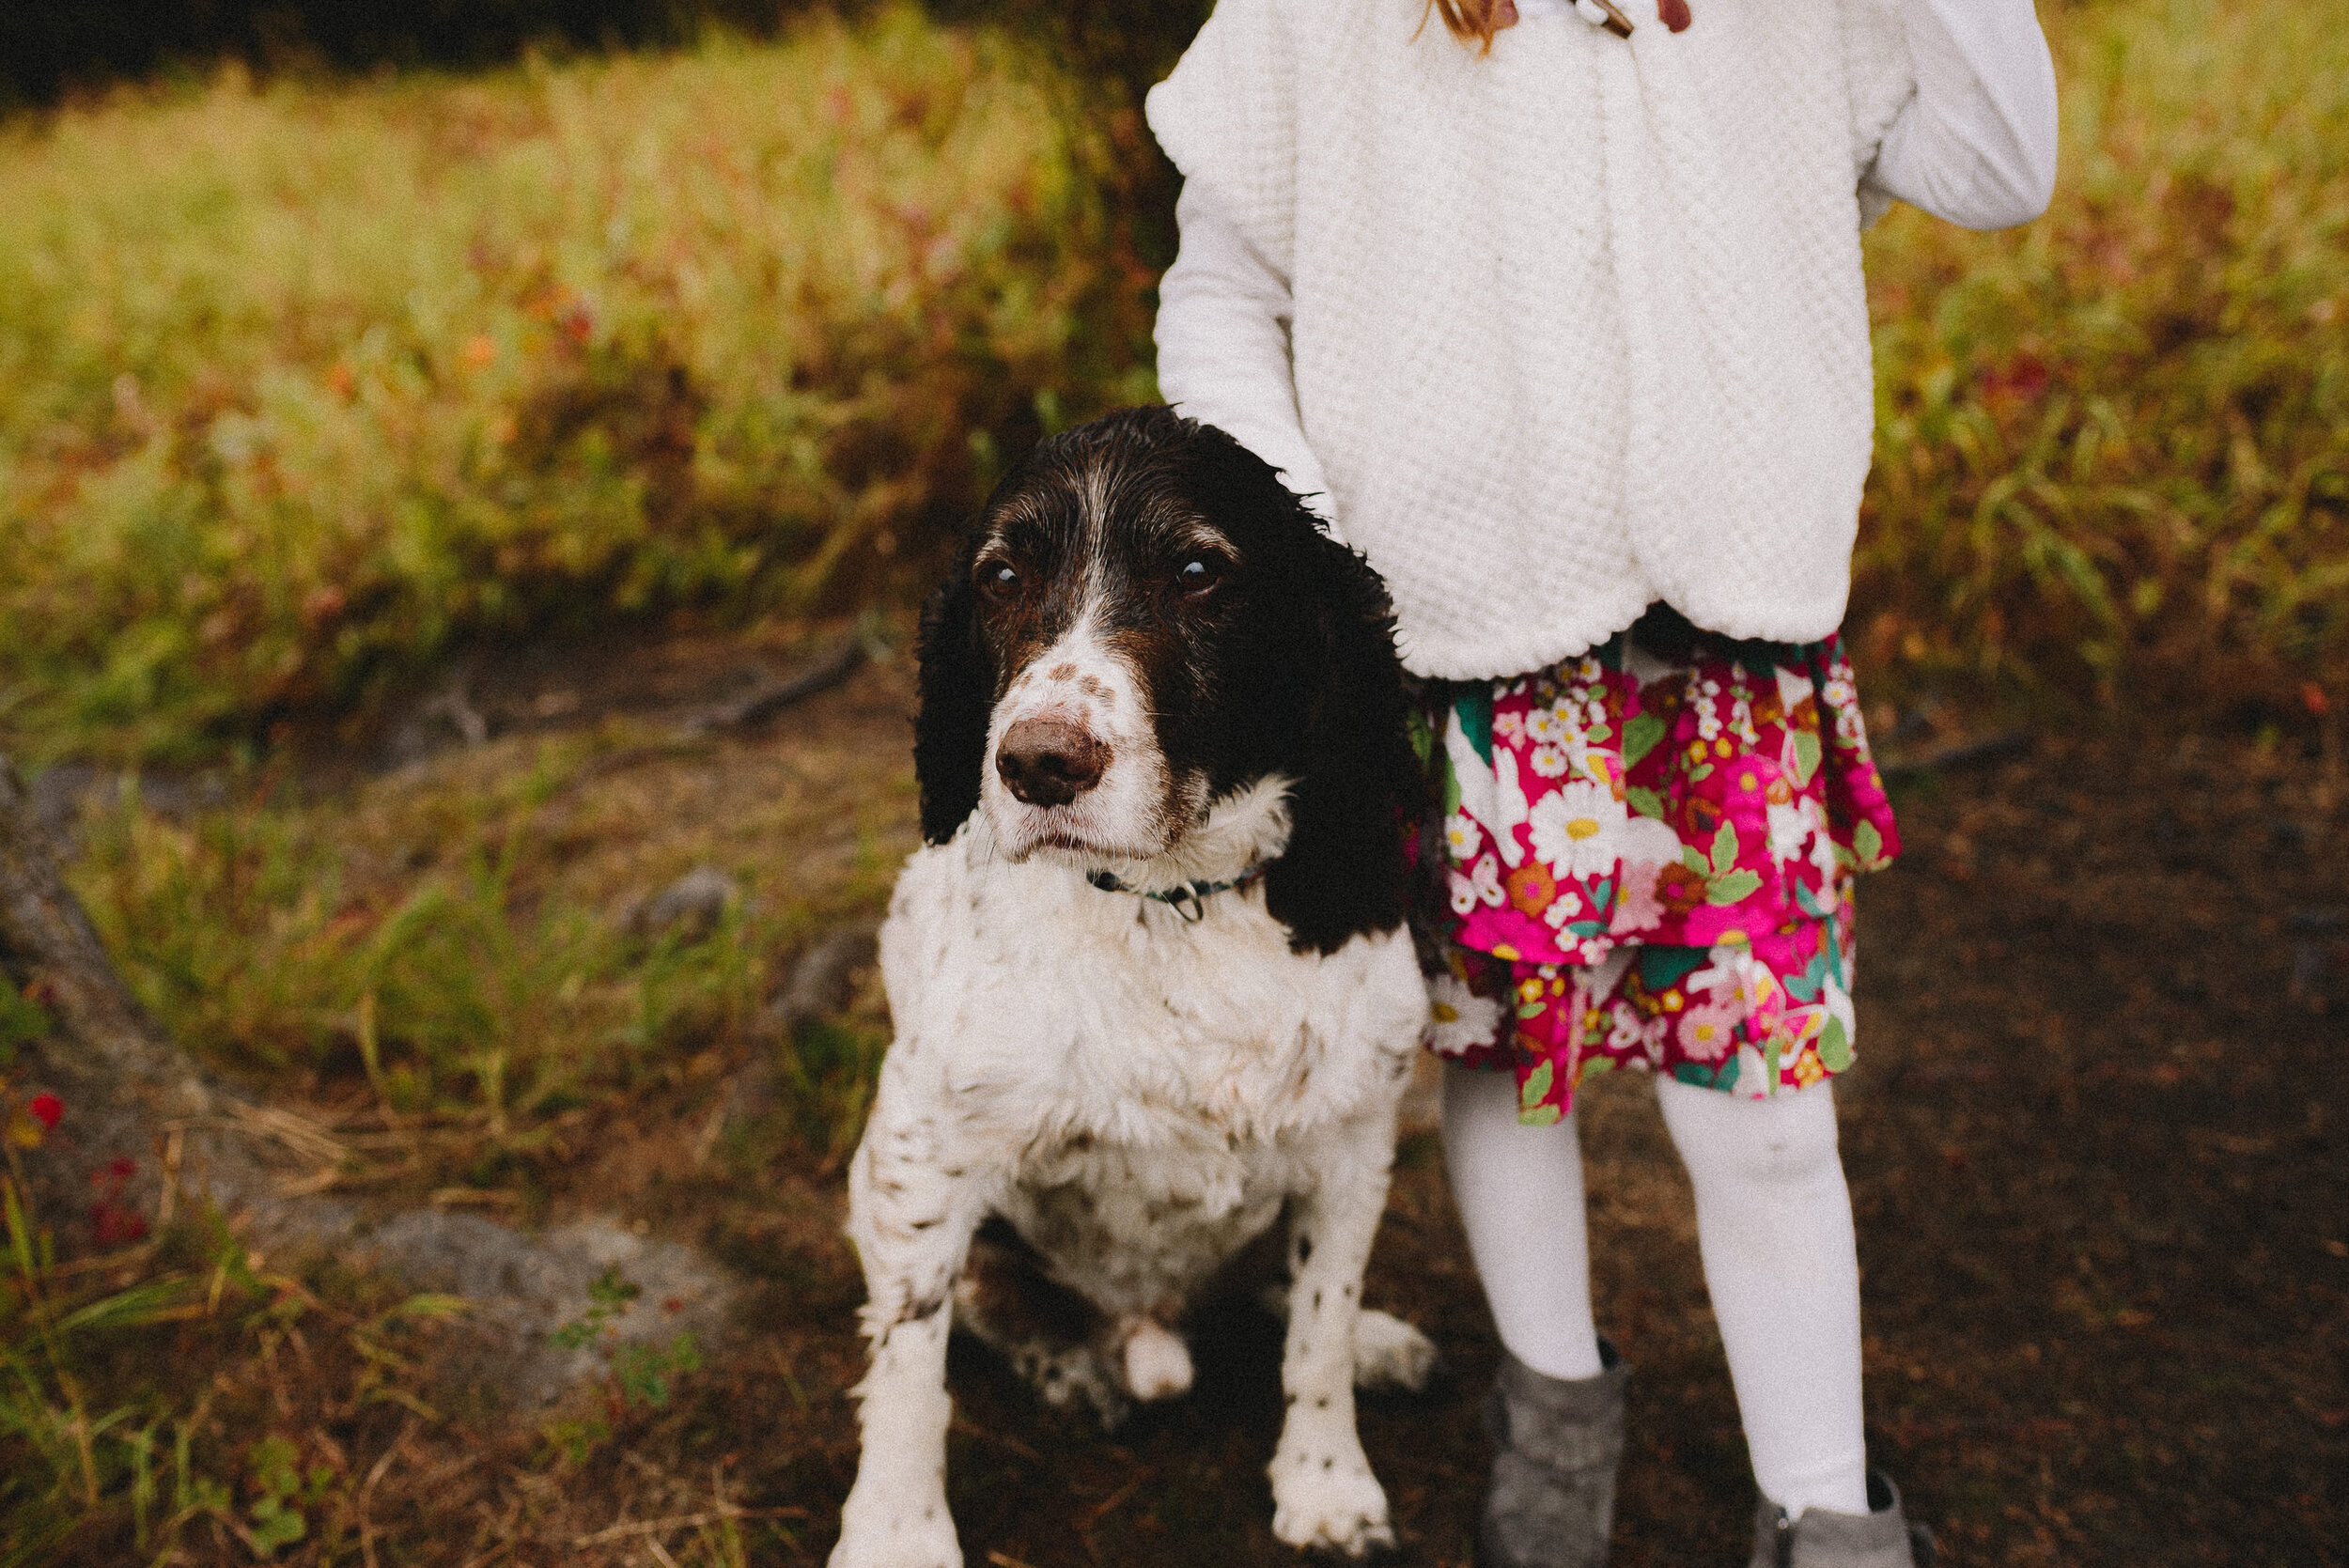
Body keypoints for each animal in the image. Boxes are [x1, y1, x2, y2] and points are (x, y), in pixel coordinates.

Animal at [836, 408, 1438, 1568]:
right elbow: (908, 1371)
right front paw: (895, 1534)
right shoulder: (918, 1152)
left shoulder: (1353, 1135)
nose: (1038, 764)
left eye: (1200, 571)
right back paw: (1075, 1367)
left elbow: (1322, 1323)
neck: (1171, 898)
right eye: (1003, 574)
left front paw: (1326, 1482)